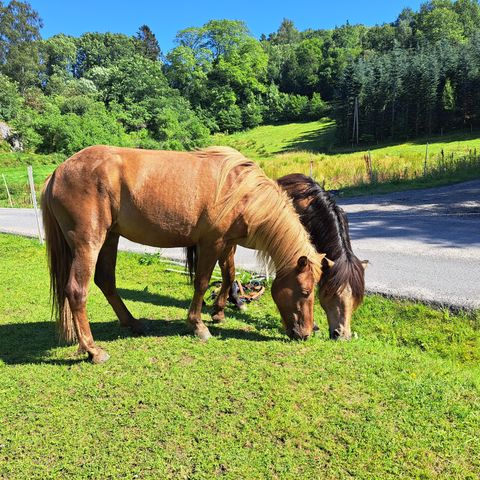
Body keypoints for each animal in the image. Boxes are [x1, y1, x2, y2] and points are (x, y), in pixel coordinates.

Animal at [41, 146, 328, 364]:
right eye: (305, 292)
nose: (306, 333)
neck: (241, 190)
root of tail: (57, 173)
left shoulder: (227, 243)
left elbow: (229, 275)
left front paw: (219, 312)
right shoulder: (211, 243)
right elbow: (202, 282)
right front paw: (198, 325)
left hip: (110, 238)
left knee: (106, 282)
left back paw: (132, 324)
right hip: (89, 243)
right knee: (77, 290)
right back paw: (93, 350)